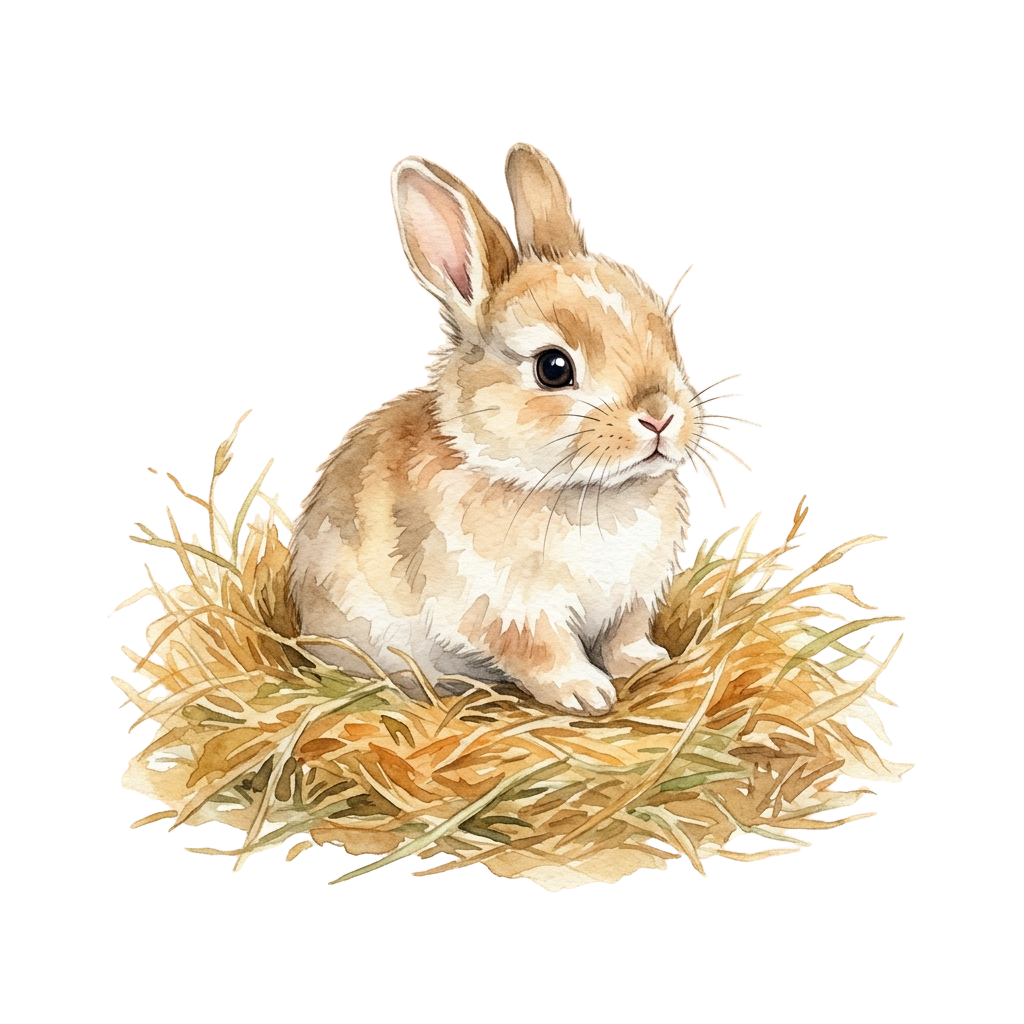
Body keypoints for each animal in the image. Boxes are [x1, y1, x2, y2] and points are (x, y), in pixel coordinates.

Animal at [287, 142, 752, 716]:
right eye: (553, 368)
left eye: (665, 328)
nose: (660, 415)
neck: (589, 491)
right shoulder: (510, 608)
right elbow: (544, 651)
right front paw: (586, 693)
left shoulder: (632, 600)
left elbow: (624, 637)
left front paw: (647, 664)